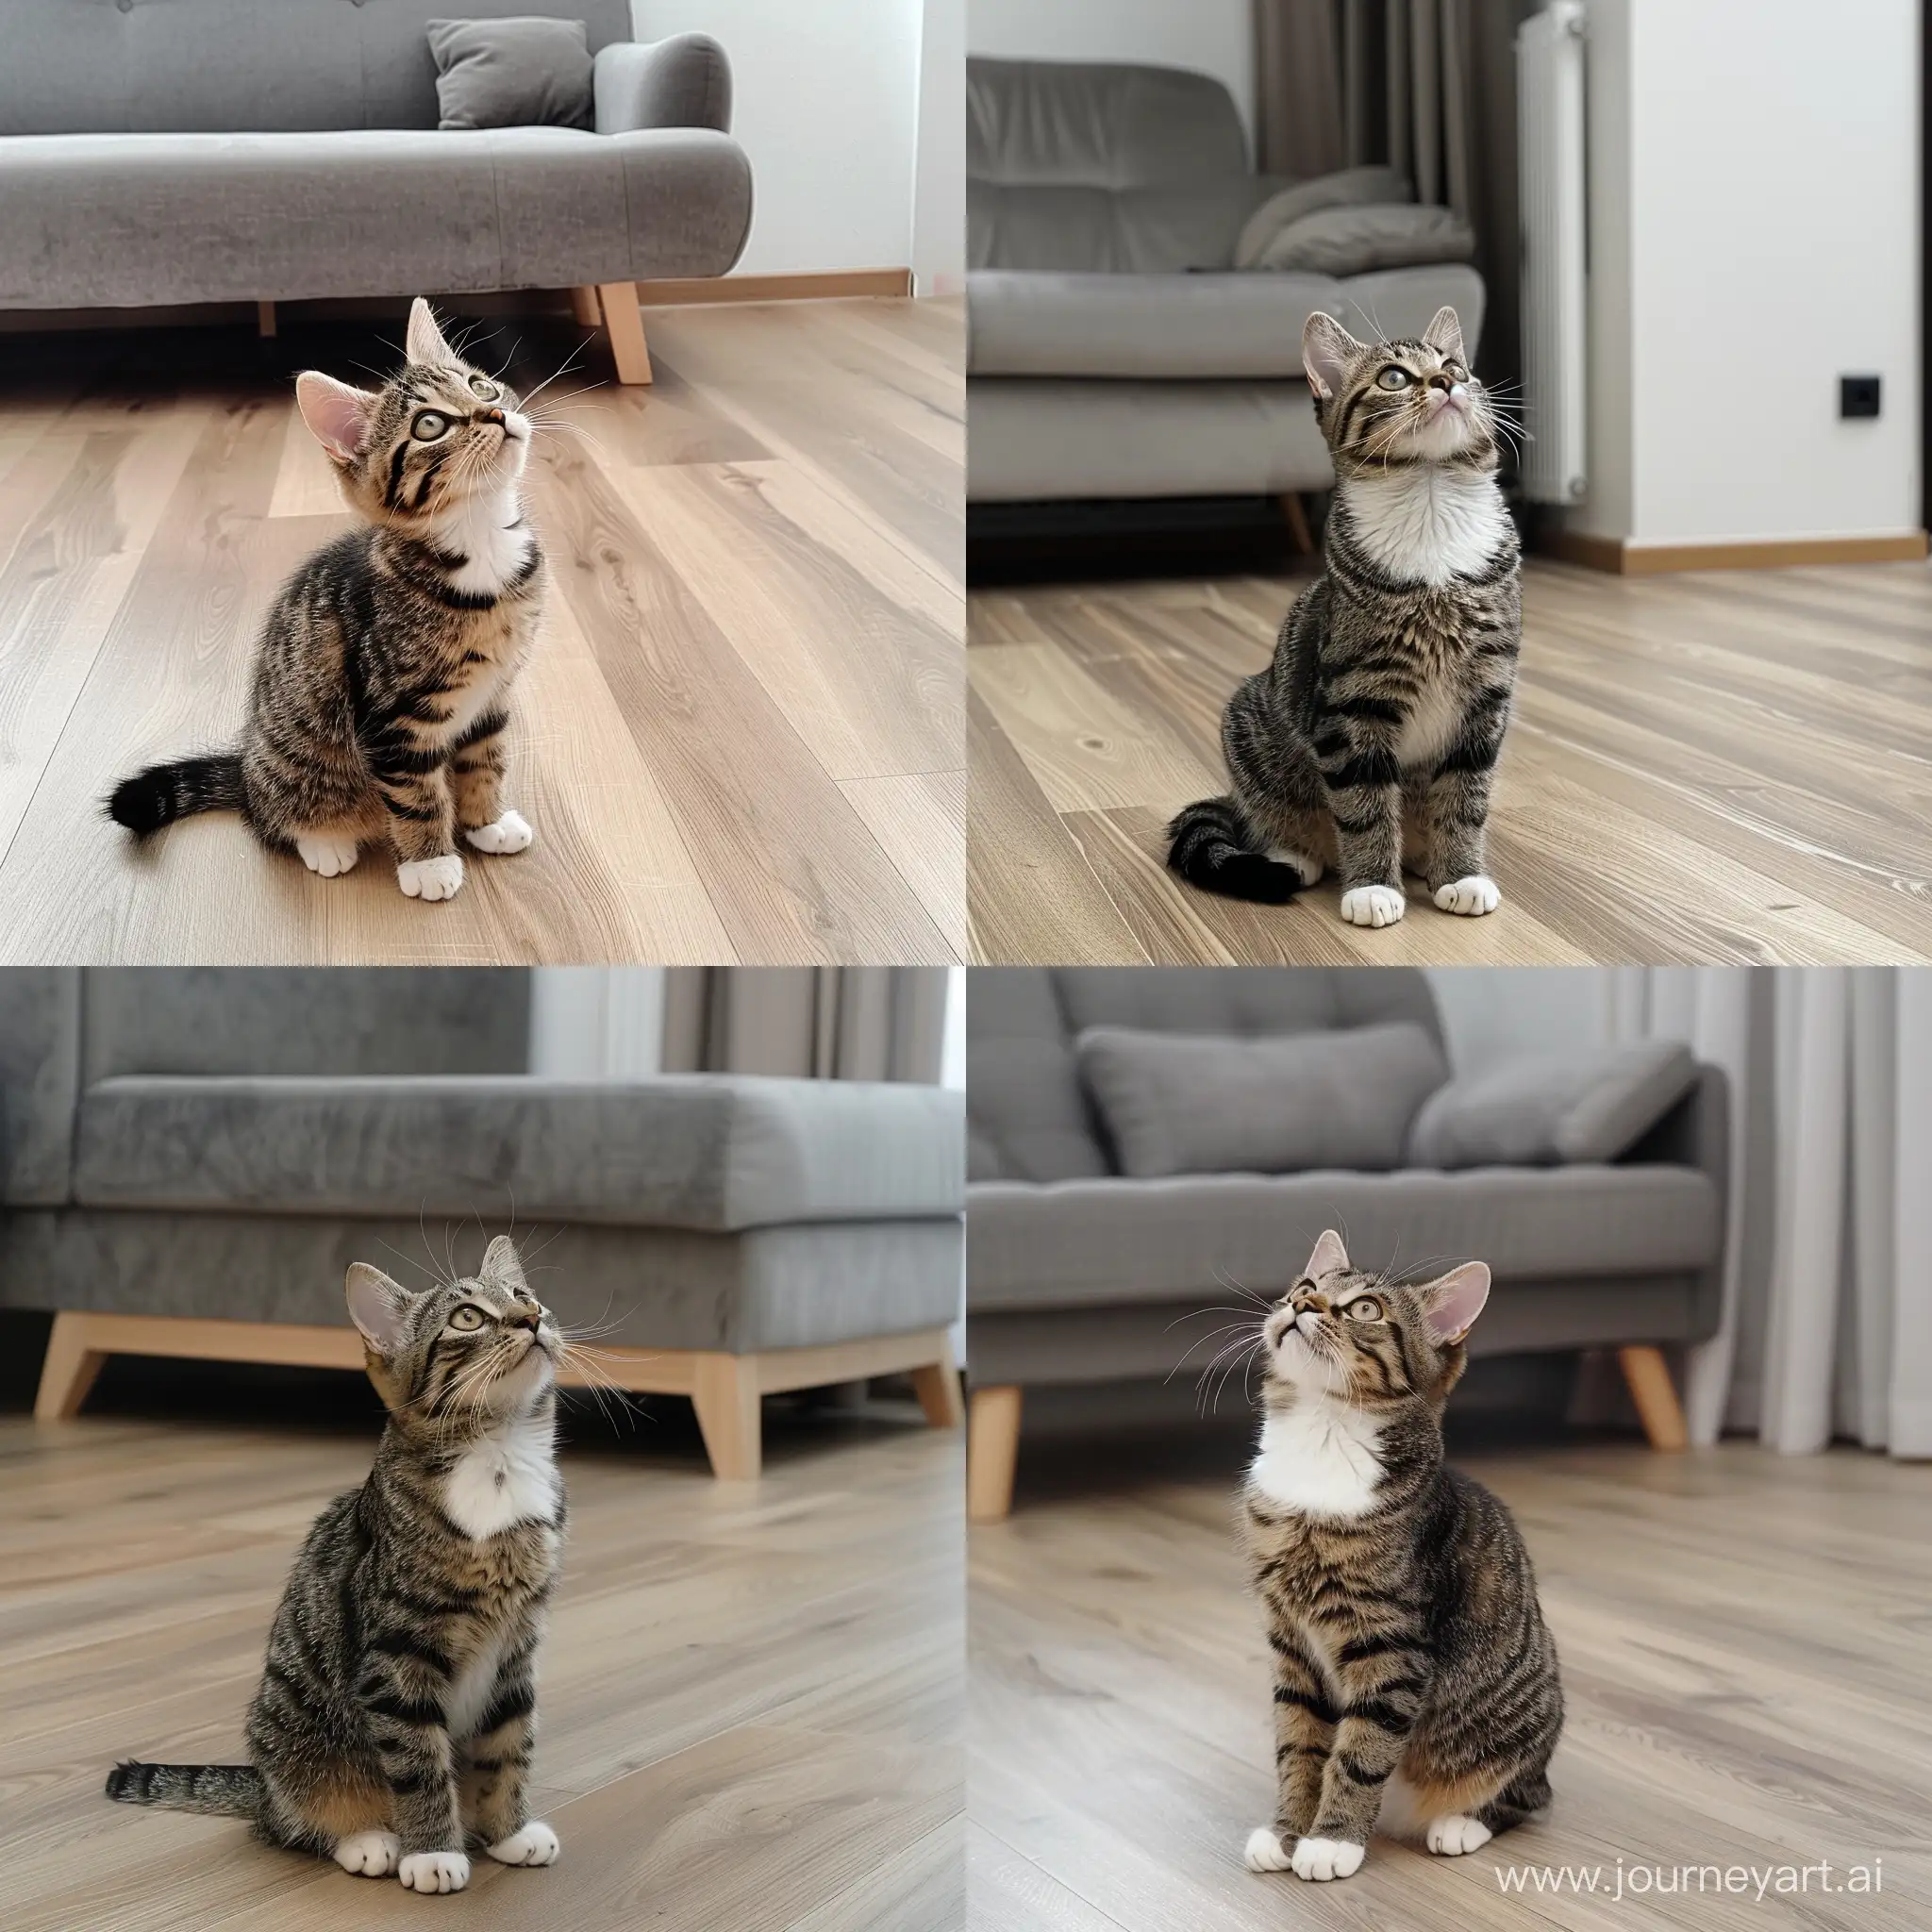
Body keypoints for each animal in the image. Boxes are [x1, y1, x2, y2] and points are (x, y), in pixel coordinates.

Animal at [106, 1236, 564, 1885]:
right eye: (468, 1317)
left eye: (526, 1296)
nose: (534, 1319)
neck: (497, 1458)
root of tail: (262, 1787)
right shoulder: (396, 1657)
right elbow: (418, 1761)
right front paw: (435, 1852)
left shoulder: (518, 1646)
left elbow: (508, 1746)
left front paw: (509, 1831)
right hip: (296, 1740)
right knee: (291, 1822)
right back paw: (367, 1839)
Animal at [108, 301, 544, 904]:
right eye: (429, 425)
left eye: (482, 386)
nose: (496, 414)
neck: (480, 545)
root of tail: (246, 768)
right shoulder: (393, 719)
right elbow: (417, 794)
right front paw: (429, 863)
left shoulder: (492, 693)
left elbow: (485, 758)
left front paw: (487, 821)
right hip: (295, 768)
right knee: (272, 819)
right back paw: (324, 843)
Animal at [1158, 307, 1522, 927]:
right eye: (1394, 378)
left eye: (1454, 366)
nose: (1445, 382)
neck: (1429, 501)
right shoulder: (1352, 703)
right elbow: (1364, 802)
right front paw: (1373, 886)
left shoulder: (1486, 695)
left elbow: (1465, 797)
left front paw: (1462, 874)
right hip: (1252, 727)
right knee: (1280, 814)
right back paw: (1293, 853)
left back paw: (1423, 859)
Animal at [1236, 1228, 1568, 1877]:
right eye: (1305, 1286)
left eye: (1366, 1309)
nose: (1302, 1304)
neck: (1323, 1436)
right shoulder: (1289, 1640)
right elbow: (1299, 1743)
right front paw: (1287, 1831)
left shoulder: (1391, 1645)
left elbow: (1361, 1750)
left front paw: (1331, 1840)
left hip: (1512, 1729)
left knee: (1528, 1796)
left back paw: (1460, 1823)